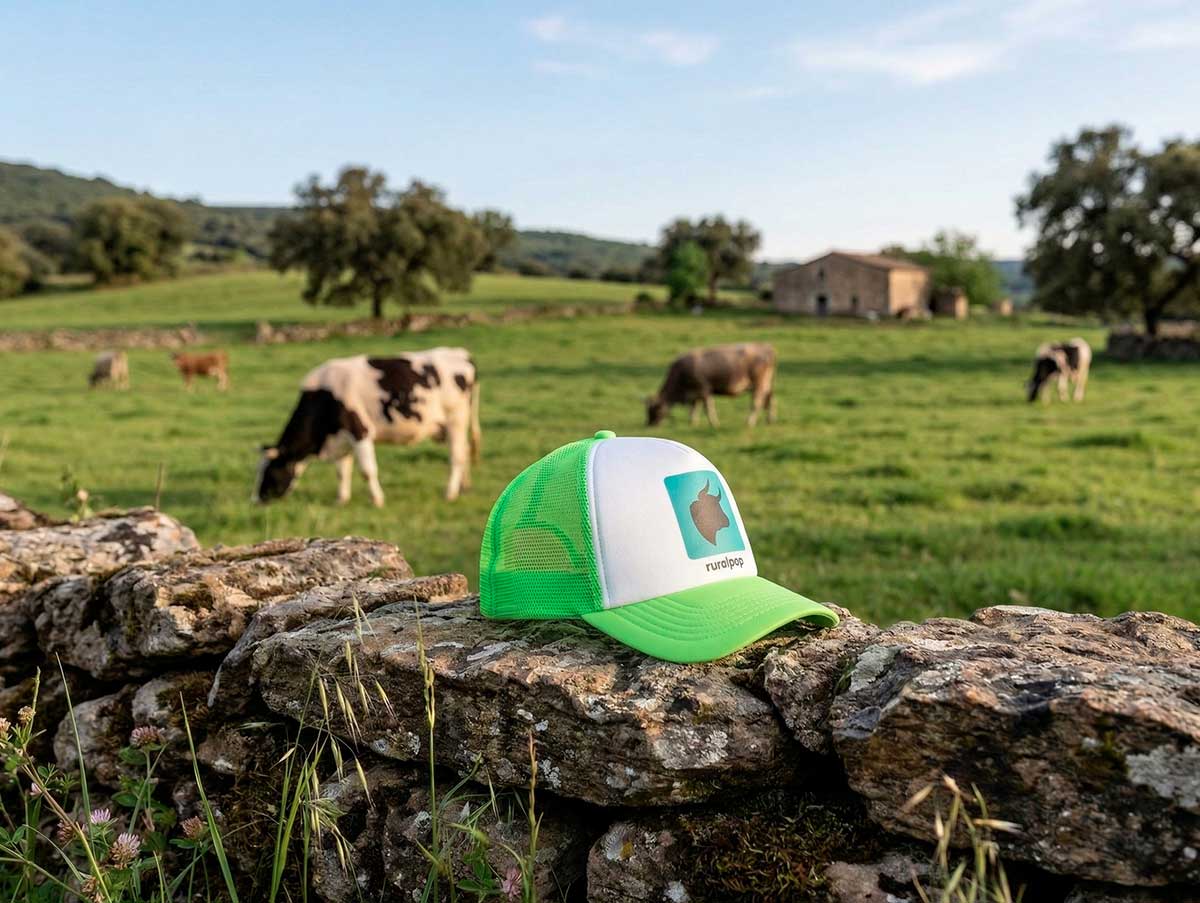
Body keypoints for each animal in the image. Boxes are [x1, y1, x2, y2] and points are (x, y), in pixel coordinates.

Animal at [254, 348, 481, 506]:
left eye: (271, 472)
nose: (255, 500)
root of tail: (461, 354)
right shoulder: (341, 438)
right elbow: (342, 471)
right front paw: (341, 500)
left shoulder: (359, 431)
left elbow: (367, 470)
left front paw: (377, 500)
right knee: (465, 451)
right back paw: (464, 487)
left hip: (456, 420)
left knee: (457, 456)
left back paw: (450, 493)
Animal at [646, 343, 777, 428]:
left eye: (654, 410)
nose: (649, 424)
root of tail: (766, 347)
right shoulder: (695, 393)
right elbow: (694, 408)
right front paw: (692, 422)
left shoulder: (704, 390)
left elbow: (707, 408)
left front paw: (713, 423)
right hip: (767, 384)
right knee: (770, 399)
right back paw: (770, 420)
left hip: (758, 384)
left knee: (756, 403)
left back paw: (749, 423)